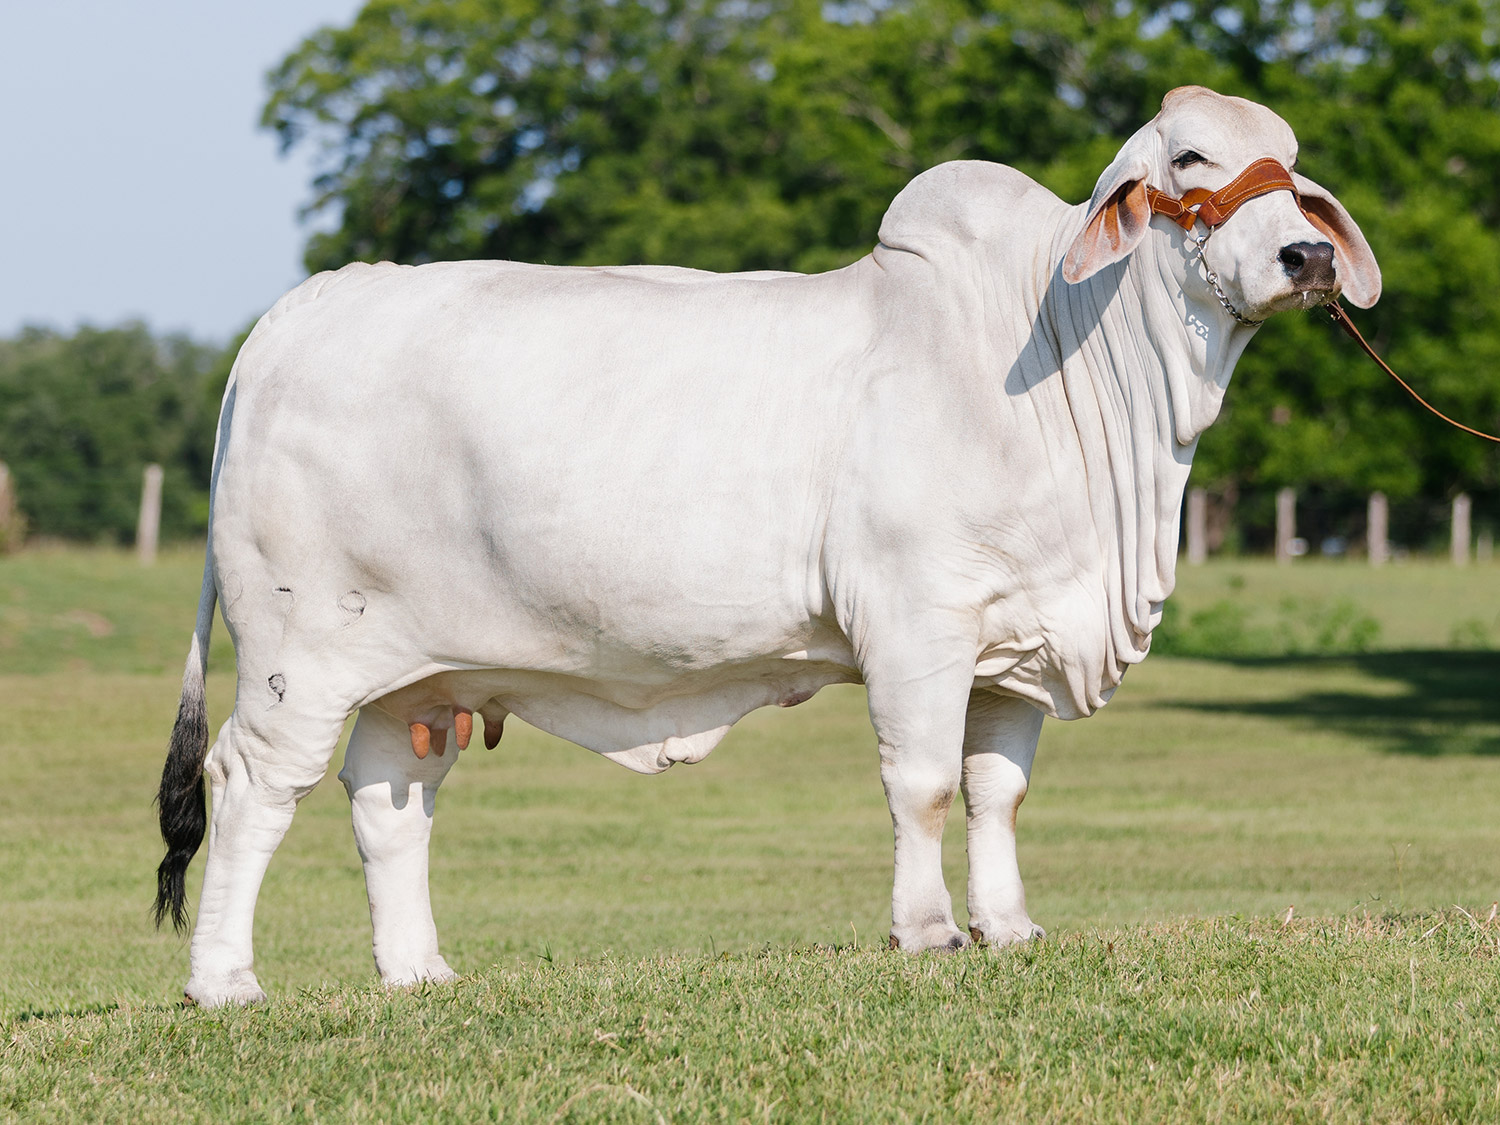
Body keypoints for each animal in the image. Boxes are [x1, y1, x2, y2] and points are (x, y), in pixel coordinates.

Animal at [155, 83, 1380, 1008]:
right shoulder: (918, 625)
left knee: (388, 799)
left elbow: (996, 790)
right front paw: (928, 930)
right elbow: (922, 784)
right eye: (1190, 155)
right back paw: (224, 982)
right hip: (299, 652)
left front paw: (1011, 925)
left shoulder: (1018, 639)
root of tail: (296, 314)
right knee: (251, 785)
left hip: (415, 673)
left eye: (1293, 166)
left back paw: (419, 973)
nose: (1306, 255)